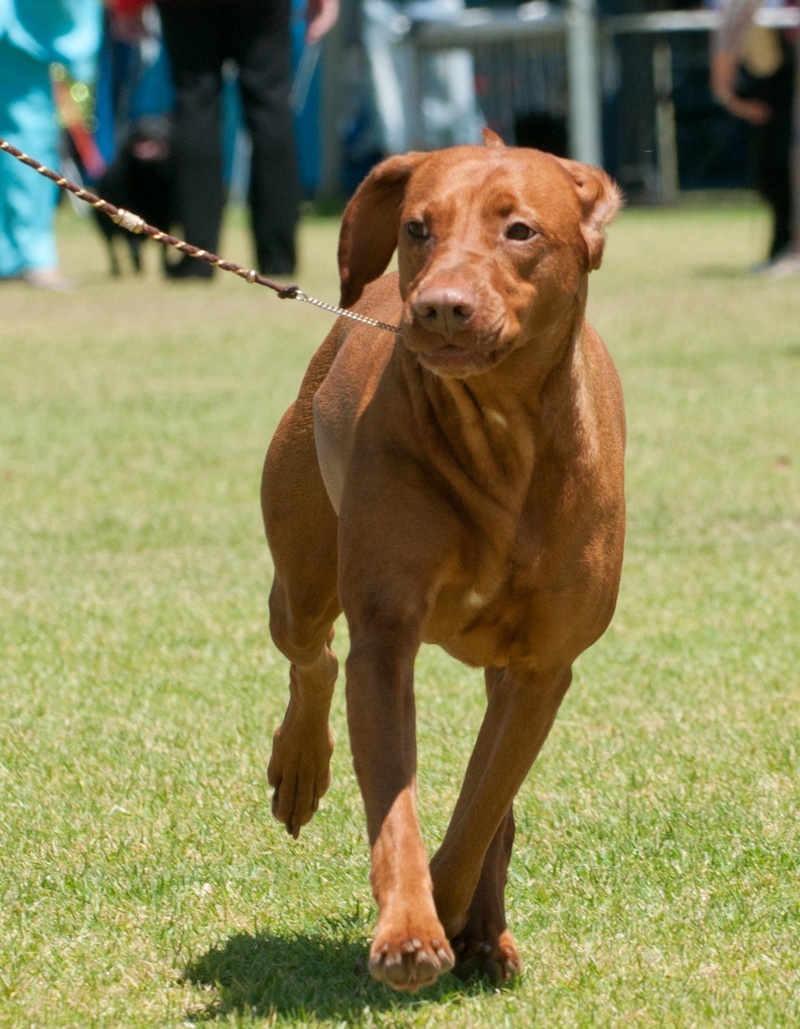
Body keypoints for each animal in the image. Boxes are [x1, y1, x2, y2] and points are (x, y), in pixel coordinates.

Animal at [93, 116, 175, 275]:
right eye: (137, 125)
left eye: (160, 127)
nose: (144, 127)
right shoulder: (130, 215)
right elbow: (134, 245)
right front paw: (138, 268)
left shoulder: (165, 219)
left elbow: (163, 248)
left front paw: (164, 268)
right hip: (104, 224)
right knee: (111, 247)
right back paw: (117, 270)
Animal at [262, 130, 625, 987]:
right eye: (417, 228)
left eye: (519, 230)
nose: (439, 306)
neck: (501, 437)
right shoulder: (386, 636)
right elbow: (396, 803)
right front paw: (410, 923)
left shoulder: (543, 667)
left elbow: (482, 803)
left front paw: (457, 910)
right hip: (302, 570)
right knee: (312, 652)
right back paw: (301, 764)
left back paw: (488, 926)